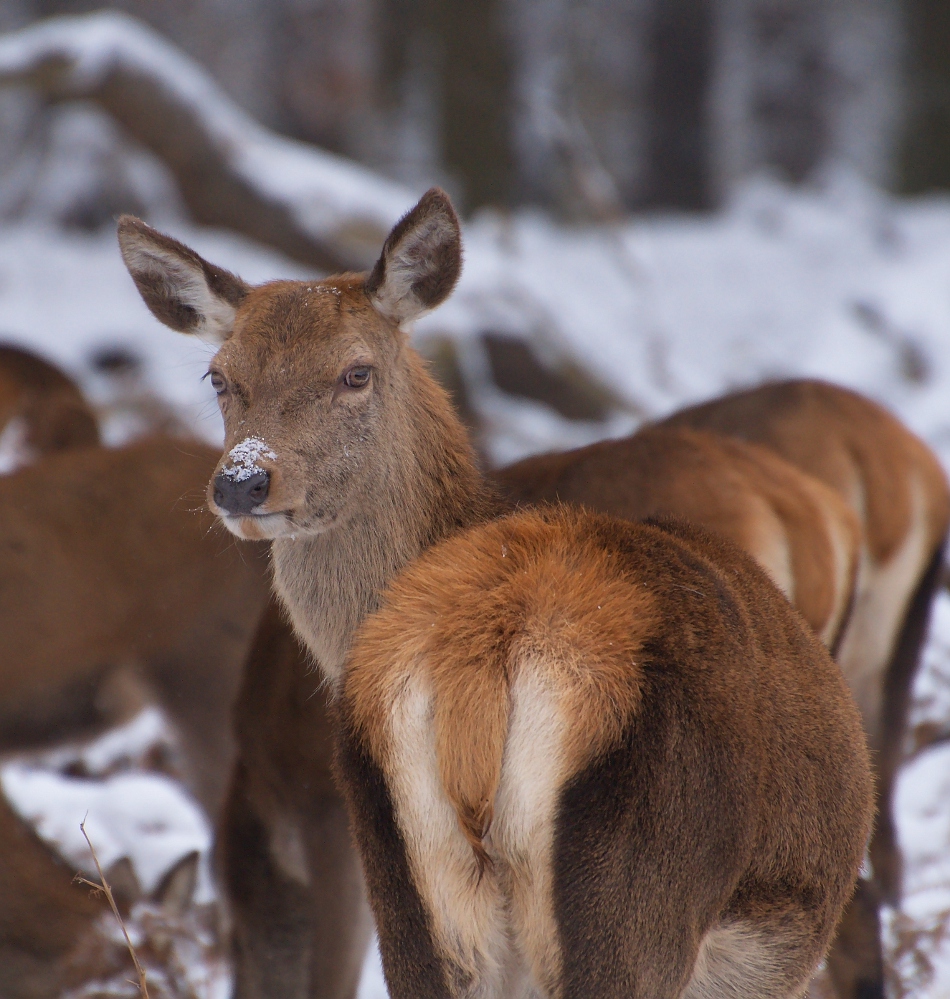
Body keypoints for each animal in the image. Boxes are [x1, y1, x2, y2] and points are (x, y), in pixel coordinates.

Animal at [117, 189, 876, 999]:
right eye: (220, 377)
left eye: (356, 372)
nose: (242, 481)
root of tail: (488, 653)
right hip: (645, 871)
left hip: (403, 872)